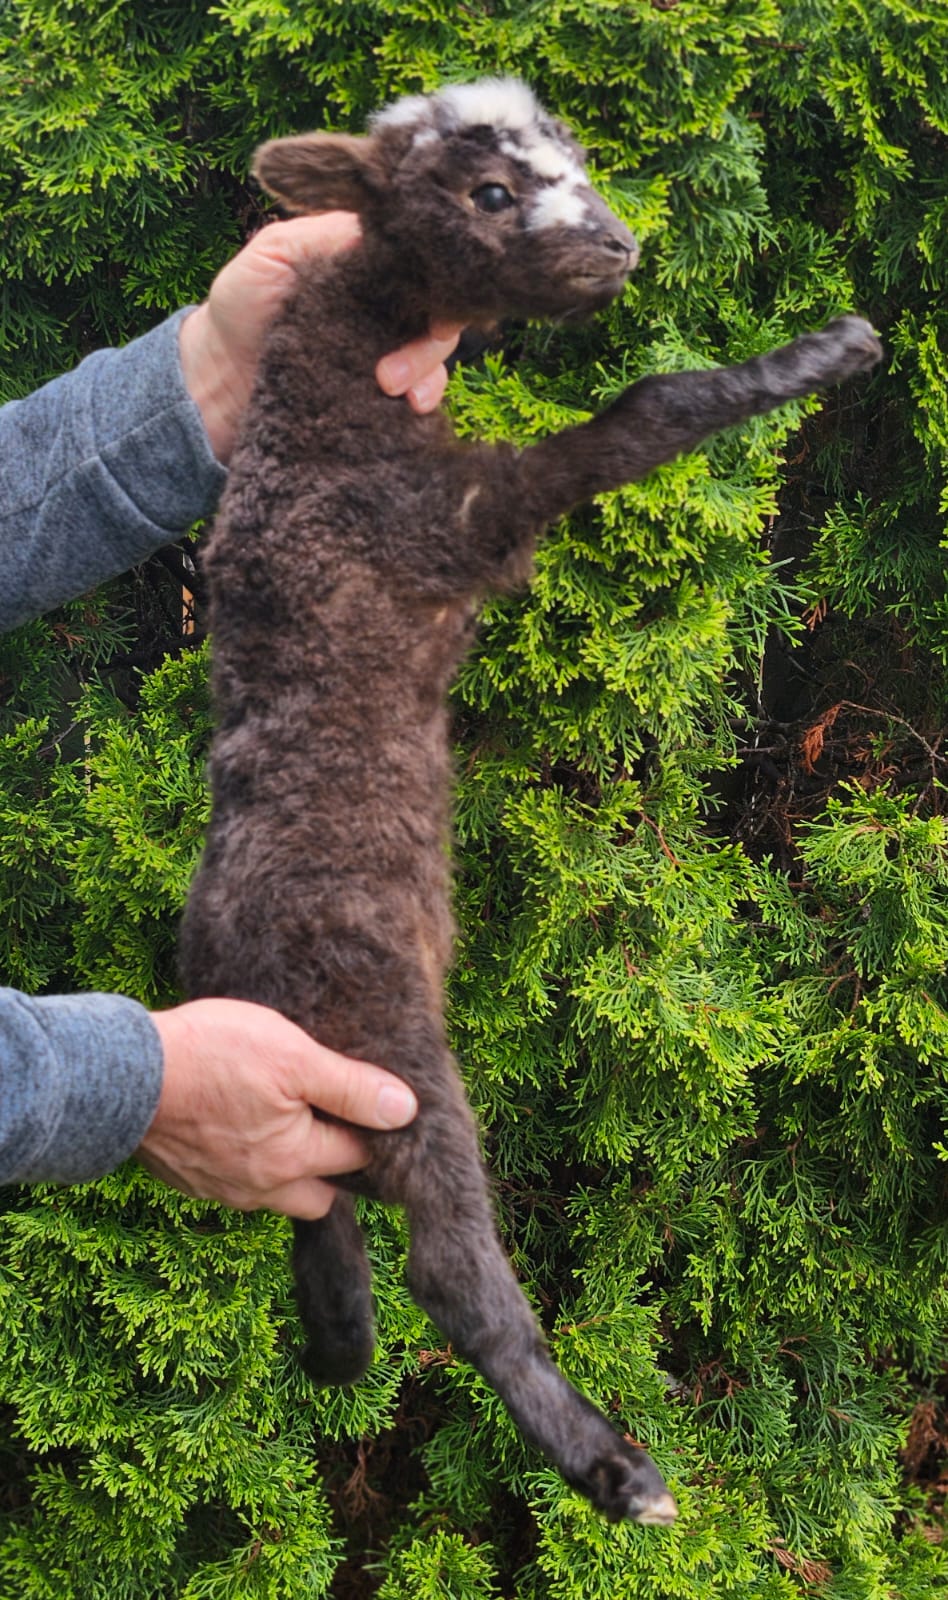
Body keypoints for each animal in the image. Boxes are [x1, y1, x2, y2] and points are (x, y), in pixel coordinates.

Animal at [179, 76, 882, 1526]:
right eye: (490, 193)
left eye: (569, 156)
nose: (619, 250)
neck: (349, 355)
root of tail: (222, 970)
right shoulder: (462, 510)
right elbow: (644, 412)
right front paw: (822, 352)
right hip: (386, 1052)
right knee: (452, 1267)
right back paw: (613, 1467)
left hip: (309, 1097)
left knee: (313, 1210)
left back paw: (342, 1340)